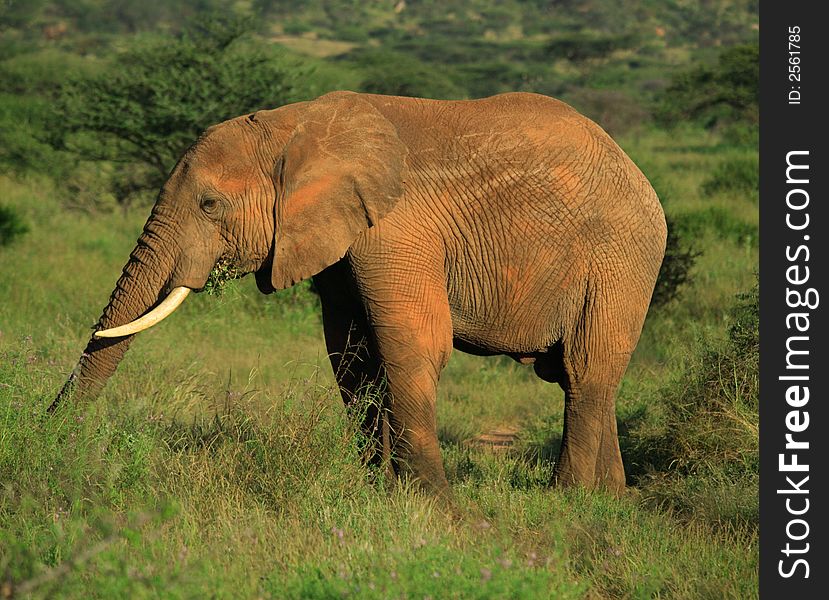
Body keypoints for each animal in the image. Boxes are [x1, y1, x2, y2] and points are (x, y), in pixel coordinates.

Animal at [50, 90, 668, 496]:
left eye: (209, 205)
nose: (48, 430)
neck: (293, 126)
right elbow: (351, 354)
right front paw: (382, 494)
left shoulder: (398, 226)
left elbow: (411, 348)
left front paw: (432, 510)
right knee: (586, 378)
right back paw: (611, 500)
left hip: (621, 259)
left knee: (586, 372)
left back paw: (568, 501)